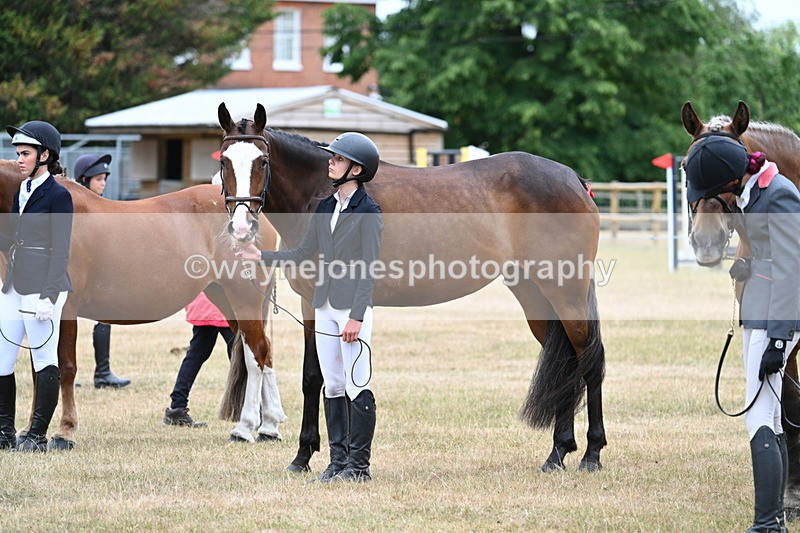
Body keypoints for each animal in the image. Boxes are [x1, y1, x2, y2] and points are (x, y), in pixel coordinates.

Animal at [0, 160, 284, 449]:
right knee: (262, 351)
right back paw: (268, 427)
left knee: (257, 353)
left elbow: (65, 369)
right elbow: (39, 371)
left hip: (244, 299)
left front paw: (64, 432)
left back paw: (246, 428)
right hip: (225, 299)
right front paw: (29, 432)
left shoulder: (66, 309)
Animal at [215, 102, 607, 474]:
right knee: (567, 364)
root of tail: (575, 179)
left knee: (589, 361)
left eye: (263, 161)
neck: (324, 195)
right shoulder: (313, 304)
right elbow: (314, 377)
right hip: (535, 296)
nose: (241, 229)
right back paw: (558, 453)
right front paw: (303, 457)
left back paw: (591, 454)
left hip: (566, 292)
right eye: (224, 162)